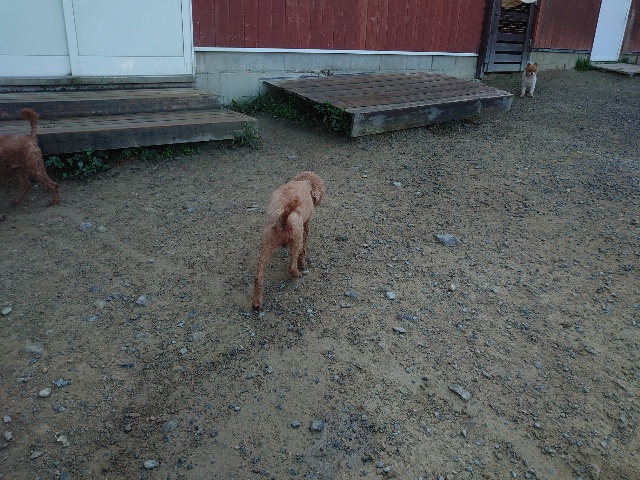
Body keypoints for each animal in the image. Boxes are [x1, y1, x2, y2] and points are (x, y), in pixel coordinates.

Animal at [252, 171, 325, 311]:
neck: (304, 182)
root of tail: (282, 219)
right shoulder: (306, 225)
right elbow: (304, 250)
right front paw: (303, 264)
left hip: (265, 244)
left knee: (258, 277)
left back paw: (257, 303)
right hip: (296, 240)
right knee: (292, 265)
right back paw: (297, 273)